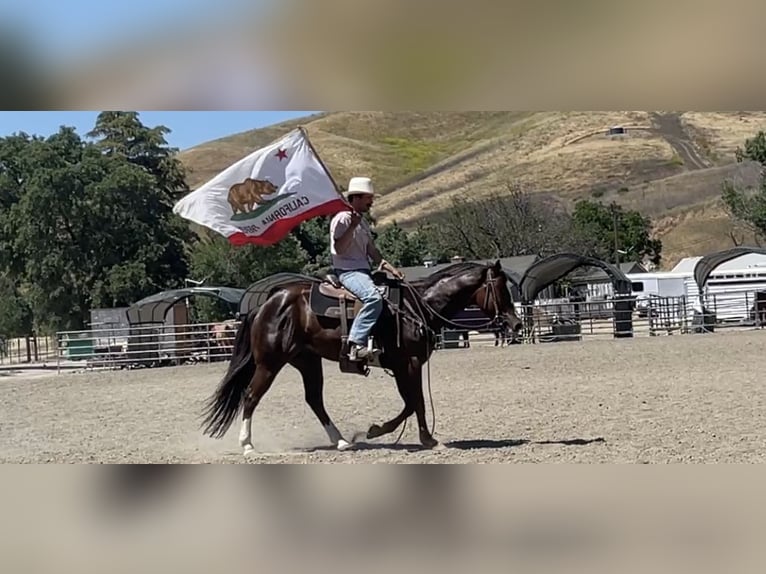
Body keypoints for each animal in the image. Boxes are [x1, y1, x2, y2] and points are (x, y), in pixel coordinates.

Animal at [201, 260, 524, 454]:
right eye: (501, 289)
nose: (516, 324)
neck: (419, 305)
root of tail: (265, 304)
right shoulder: (408, 363)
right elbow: (416, 401)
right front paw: (416, 437)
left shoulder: (402, 366)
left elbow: (411, 402)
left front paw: (380, 431)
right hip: (270, 363)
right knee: (251, 396)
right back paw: (247, 445)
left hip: (307, 361)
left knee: (314, 399)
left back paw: (342, 441)